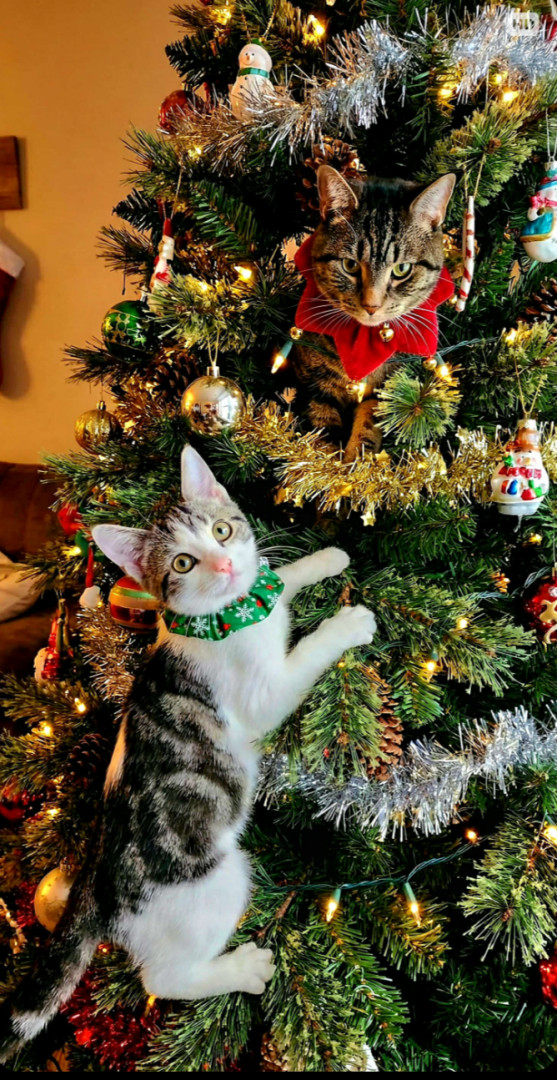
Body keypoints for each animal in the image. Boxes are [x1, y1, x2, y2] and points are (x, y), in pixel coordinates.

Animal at [0, 446, 376, 1062]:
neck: (223, 617)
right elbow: (303, 657)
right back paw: (243, 969)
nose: (223, 567)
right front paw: (345, 624)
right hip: (216, 880)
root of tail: (95, 883)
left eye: (222, 531)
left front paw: (320, 560)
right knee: (164, 978)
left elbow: (274, 582)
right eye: (181, 563)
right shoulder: (260, 694)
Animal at [291, 165, 456, 461]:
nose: (371, 306)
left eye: (402, 269)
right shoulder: (314, 383)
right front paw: (323, 465)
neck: (364, 344)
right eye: (350, 265)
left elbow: (371, 420)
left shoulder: (391, 390)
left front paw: (356, 463)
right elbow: (320, 429)